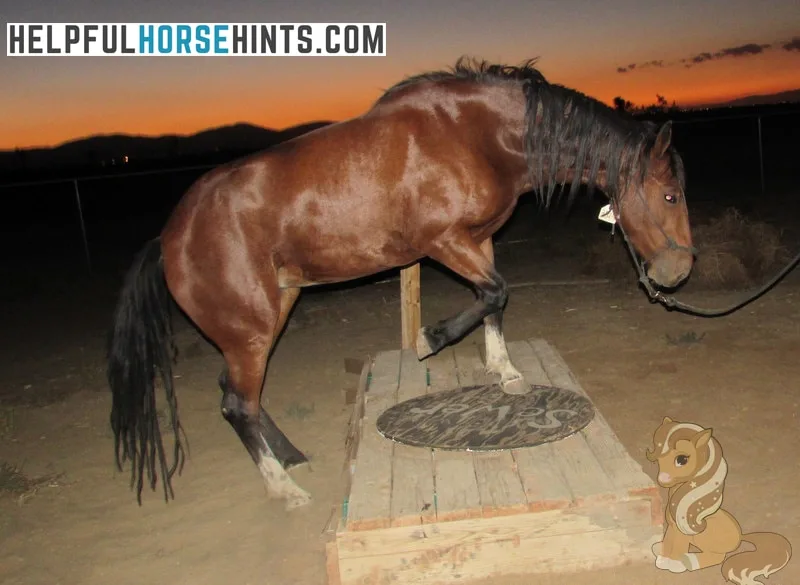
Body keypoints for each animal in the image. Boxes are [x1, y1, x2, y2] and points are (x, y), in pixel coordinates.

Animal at [106, 58, 692, 506]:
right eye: (669, 196)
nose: (680, 271)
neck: (473, 135)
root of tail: (168, 237)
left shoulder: (480, 240)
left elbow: (494, 300)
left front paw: (504, 370)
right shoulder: (443, 242)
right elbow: (495, 293)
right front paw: (430, 339)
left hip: (274, 309)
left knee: (239, 394)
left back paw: (290, 457)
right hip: (249, 326)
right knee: (236, 405)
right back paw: (282, 488)